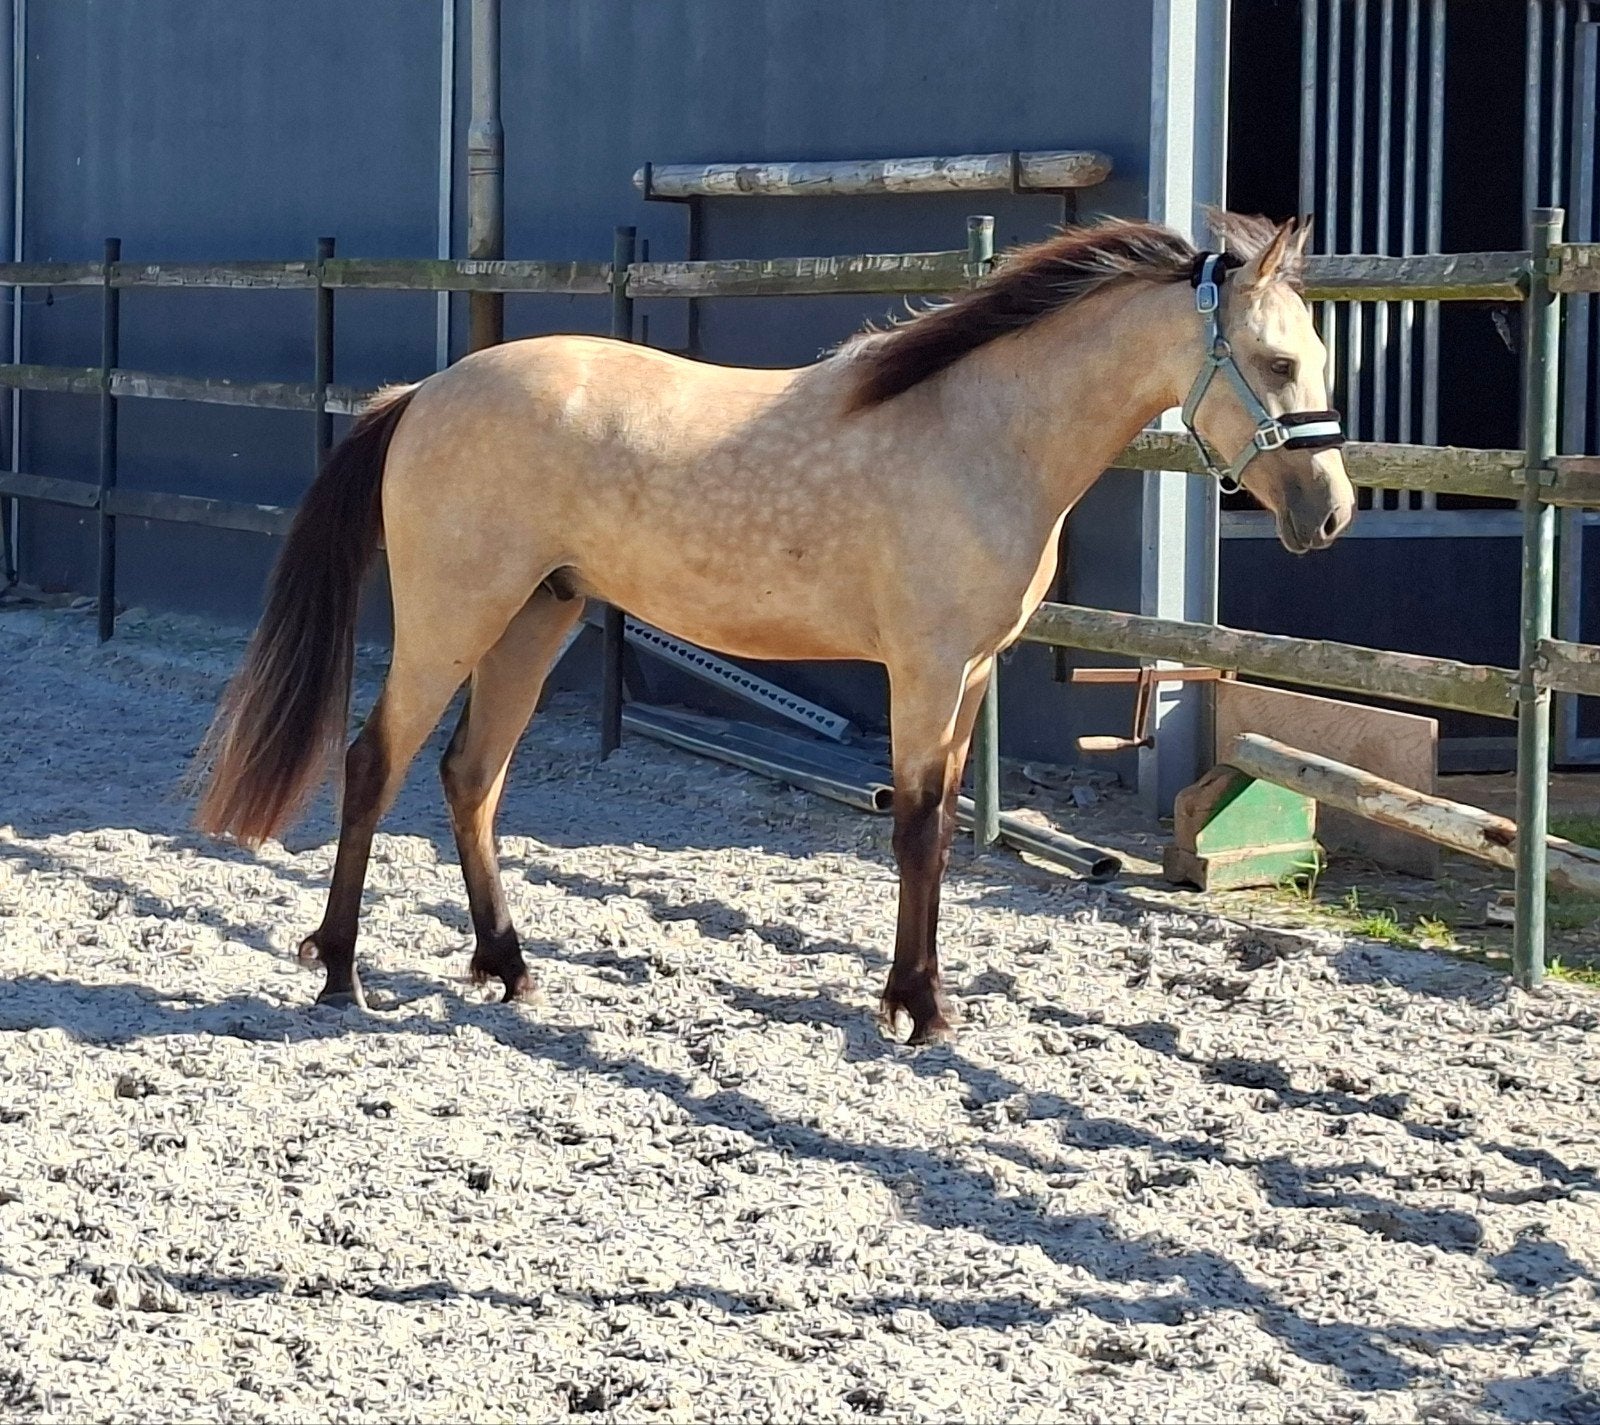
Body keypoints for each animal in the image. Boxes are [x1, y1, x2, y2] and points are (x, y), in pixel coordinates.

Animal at [193, 209, 1354, 1045]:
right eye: (1276, 363)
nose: (1330, 514)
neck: (980, 430)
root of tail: (423, 393)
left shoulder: (972, 673)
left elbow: (940, 834)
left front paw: (924, 998)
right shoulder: (925, 670)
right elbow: (916, 829)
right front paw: (917, 1010)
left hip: (536, 618)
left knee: (470, 778)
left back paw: (509, 969)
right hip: (455, 614)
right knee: (374, 762)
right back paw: (341, 973)